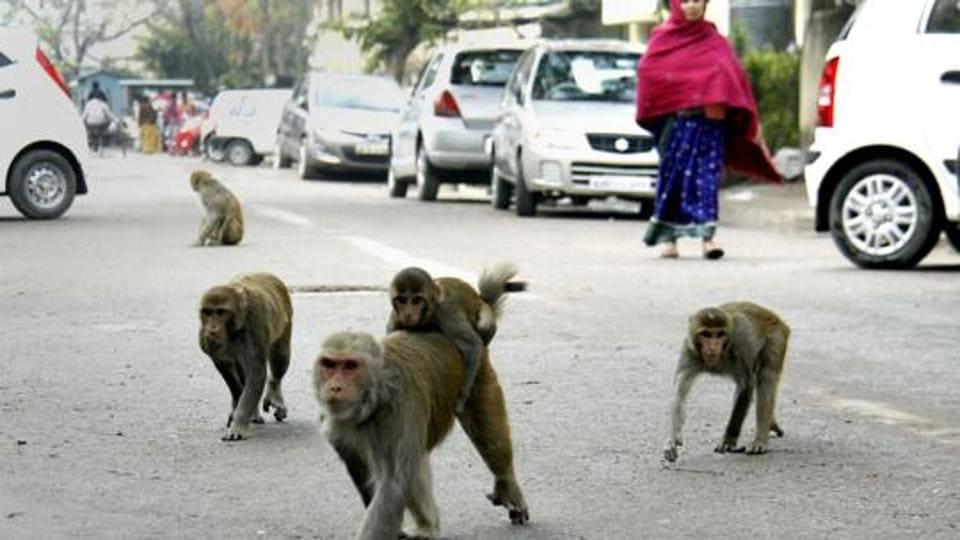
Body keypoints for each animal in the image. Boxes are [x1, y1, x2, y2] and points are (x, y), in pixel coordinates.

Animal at [197, 272, 290, 440]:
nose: (212, 329)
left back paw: (275, 394)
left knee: (280, 360)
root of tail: (268, 274)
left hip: (285, 324)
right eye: (207, 312)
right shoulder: (205, 338)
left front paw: (239, 423)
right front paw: (240, 406)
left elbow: (256, 373)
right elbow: (224, 367)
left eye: (220, 312)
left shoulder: (253, 329)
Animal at [316, 330, 528, 540]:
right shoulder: (335, 423)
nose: (334, 387)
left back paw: (506, 482)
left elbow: (393, 484)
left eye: (350, 366)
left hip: (477, 374)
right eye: (329, 364)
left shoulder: (400, 408)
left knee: (487, 433)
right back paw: (427, 525)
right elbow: (359, 467)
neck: (375, 396)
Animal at [386, 262, 528, 414]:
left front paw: (462, 397)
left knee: (483, 326)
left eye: (416, 300)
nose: (408, 313)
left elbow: (471, 345)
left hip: (484, 311)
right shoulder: (395, 317)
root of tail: (480, 298)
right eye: (402, 300)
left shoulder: (447, 311)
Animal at [664, 302, 792, 462]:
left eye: (720, 335)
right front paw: (672, 439)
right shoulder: (689, 350)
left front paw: (728, 441)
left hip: (777, 337)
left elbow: (746, 385)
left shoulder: (742, 344)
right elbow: (679, 395)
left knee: (766, 377)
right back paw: (771, 424)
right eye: (706, 334)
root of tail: (774, 317)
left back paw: (760, 439)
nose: (713, 347)